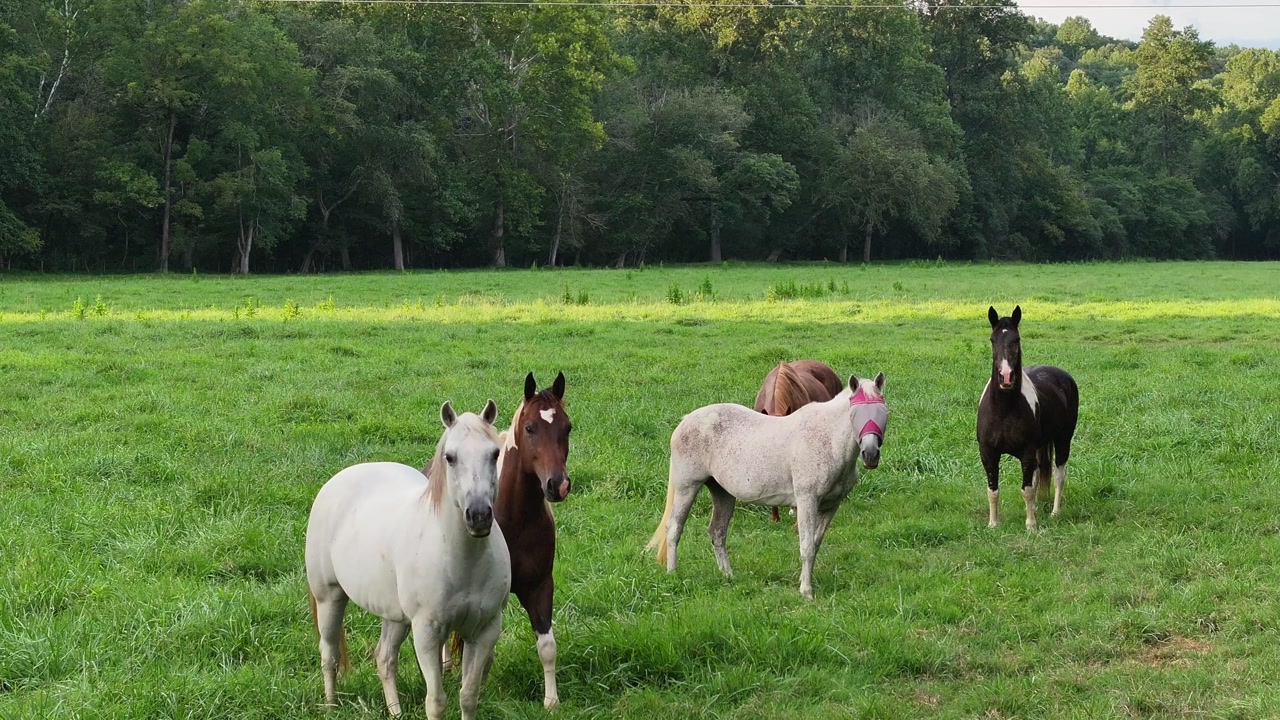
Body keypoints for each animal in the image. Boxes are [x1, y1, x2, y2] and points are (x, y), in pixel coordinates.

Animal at [305, 400, 510, 720]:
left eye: (495, 453)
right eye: (450, 457)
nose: (478, 516)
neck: (463, 563)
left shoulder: (484, 631)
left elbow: (468, 696)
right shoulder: (427, 634)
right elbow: (436, 702)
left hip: (394, 615)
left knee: (384, 658)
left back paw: (395, 712)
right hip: (329, 597)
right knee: (329, 653)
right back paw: (330, 705)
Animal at [440, 372, 572, 709]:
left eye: (567, 427)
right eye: (530, 428)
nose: (558, 485)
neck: (517, 518)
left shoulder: (540, 586)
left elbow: (547, 645)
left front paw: (551, 701)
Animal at [977, 306, 1080, 530]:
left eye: (1016, 339)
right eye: (992, 339)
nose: (1006, 377)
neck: (1004, 409)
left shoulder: (1027, 451)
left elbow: (1027, 489)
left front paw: (1031, 525)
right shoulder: (988, 452)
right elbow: (993, 490)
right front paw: (993, 524)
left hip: (1063, 440)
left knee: (1059, 476)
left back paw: (1055, 512)